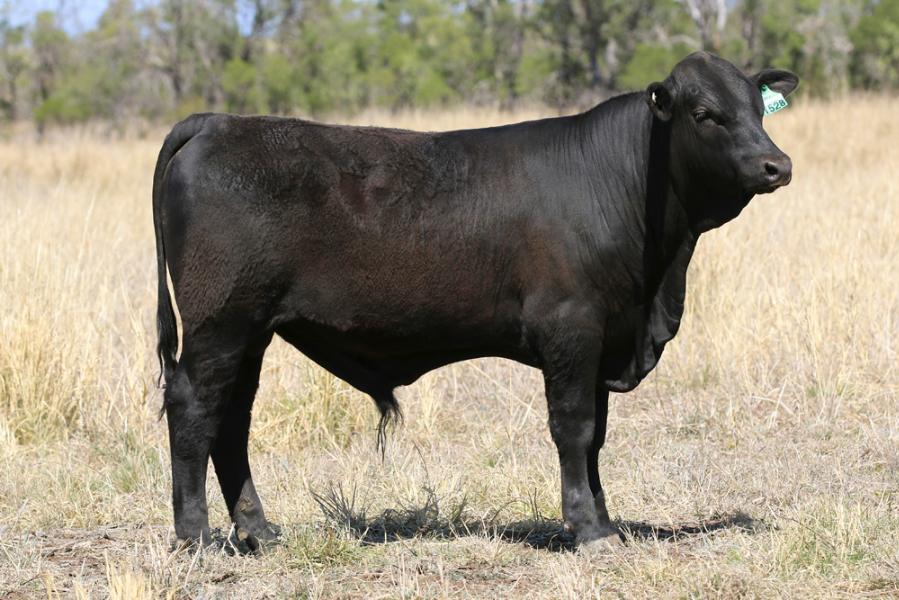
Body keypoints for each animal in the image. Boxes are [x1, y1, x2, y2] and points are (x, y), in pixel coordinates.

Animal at [152, 52, 798, 552]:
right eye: (704, 113)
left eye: (758, 106)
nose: (777, 164)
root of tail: (218, 123)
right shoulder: (571, 328)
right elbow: (574, 428)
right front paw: (587, 530)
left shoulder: (606, 337)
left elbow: (597, 437)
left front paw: (606, 522)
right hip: (219, 323)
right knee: (193, 409)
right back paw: (195, 537)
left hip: (250, 331)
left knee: (232, 421)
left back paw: (260, 531)